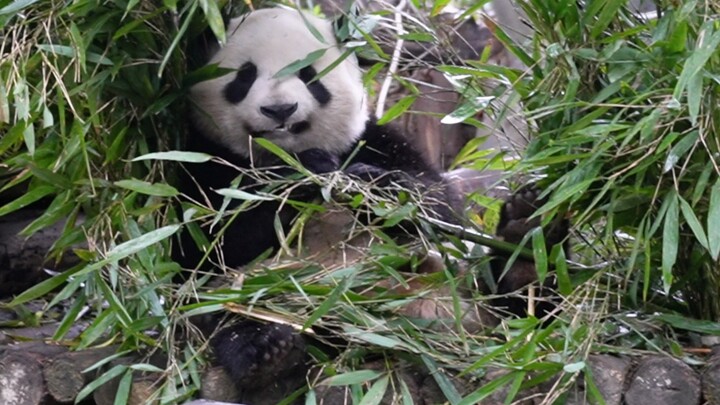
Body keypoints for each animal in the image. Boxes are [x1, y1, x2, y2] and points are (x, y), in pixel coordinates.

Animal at [177, 7, 564, 404]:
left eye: (308, 74)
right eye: (245, 75)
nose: (280, 109)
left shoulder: (374, 139)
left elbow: (437, 205)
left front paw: (371, 186)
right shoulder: (204, 159)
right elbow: (207, 240)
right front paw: (303, 175)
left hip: (461, 286)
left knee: (515, 299)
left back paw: (524, 240)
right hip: (270, 290)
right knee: (233, 310)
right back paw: (267, 351)